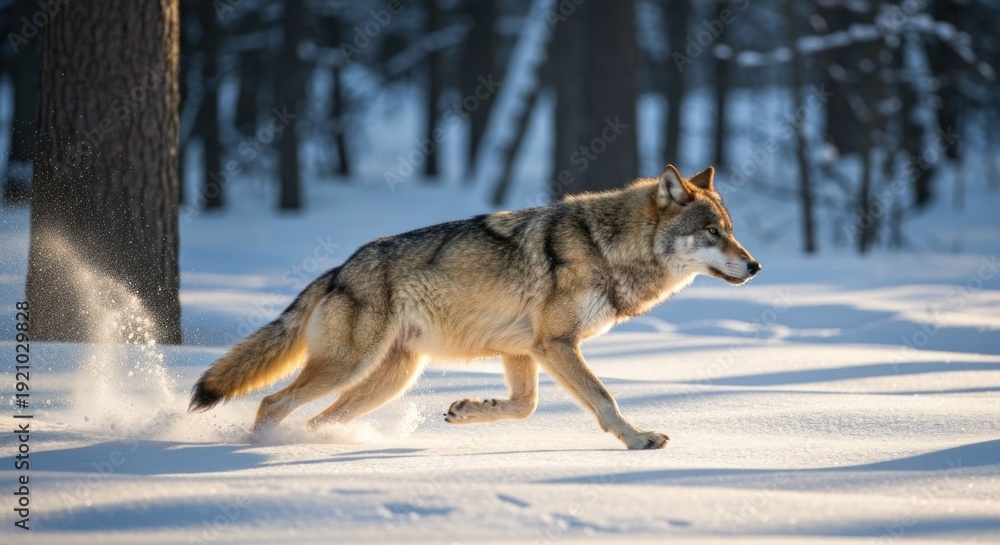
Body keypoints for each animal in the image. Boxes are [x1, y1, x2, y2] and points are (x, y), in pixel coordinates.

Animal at [189, 165, 760, 449]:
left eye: (731, 230)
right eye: (713, 232)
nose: (755, 265)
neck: (607, 247)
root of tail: (338, 269)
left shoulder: (524, 350)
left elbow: (524, 406)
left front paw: (467, 410)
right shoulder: (556, 344)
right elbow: (604, 398)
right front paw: (638, 440)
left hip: (389, 379)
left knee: (313, 419)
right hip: (347, 367)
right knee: (272, 402)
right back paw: (258, 450)